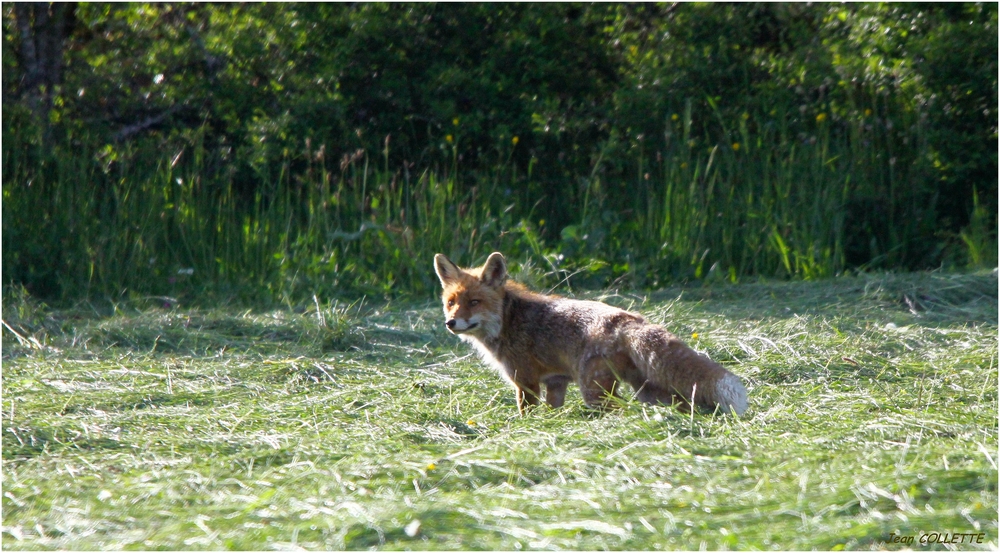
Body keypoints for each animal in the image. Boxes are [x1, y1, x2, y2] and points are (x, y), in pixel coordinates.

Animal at [434, 251, 748, 414]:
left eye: (474, 302)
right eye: (451, 302)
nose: (451, 323)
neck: (510, 320)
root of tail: (629, 319)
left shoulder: (525, 382)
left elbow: (526, 412)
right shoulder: (556, 383)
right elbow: (553, 409)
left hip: (594, 389)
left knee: (619, 408)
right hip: (648, 389)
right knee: (680, 403)